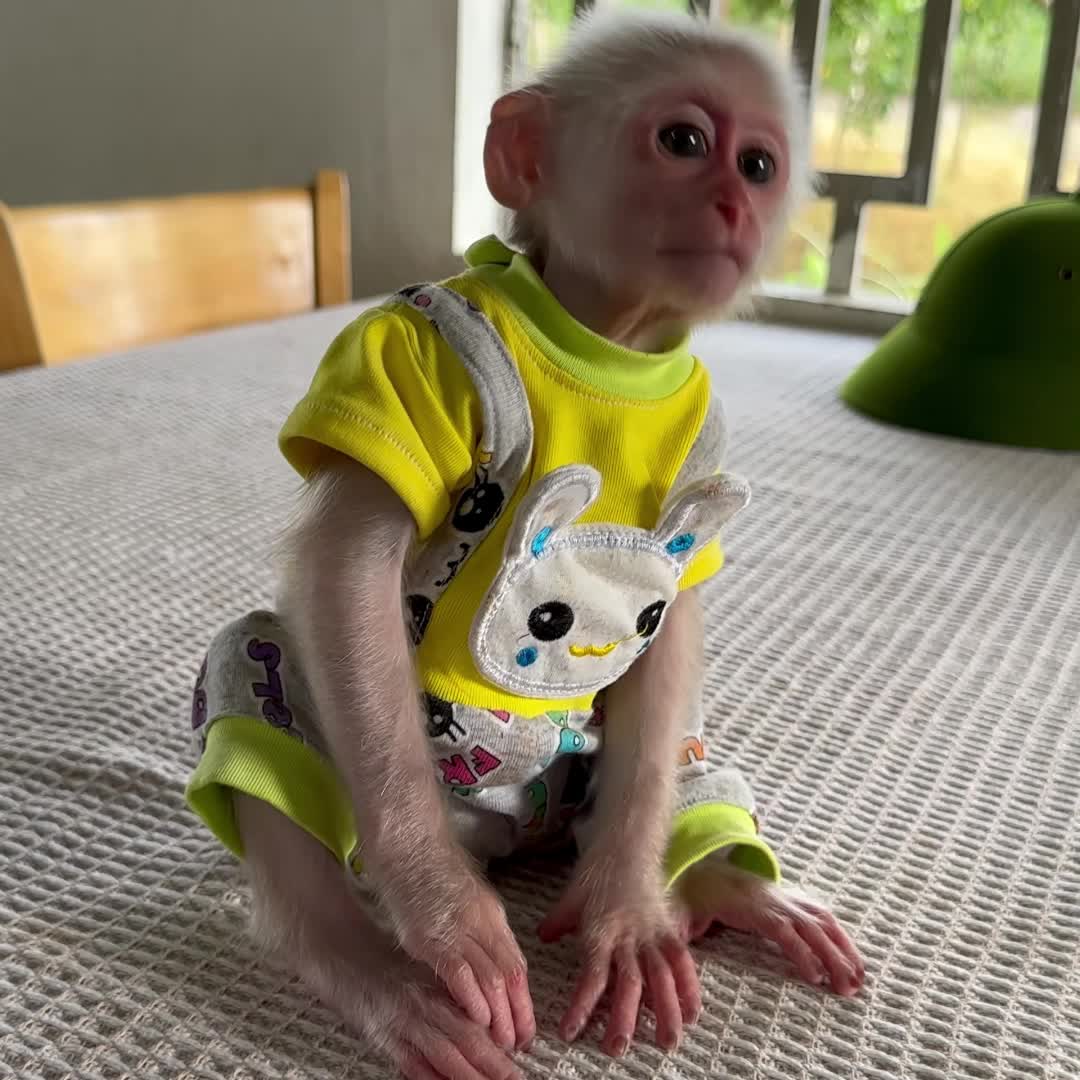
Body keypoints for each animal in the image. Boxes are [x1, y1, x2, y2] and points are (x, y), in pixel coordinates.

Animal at [183, 10, 864, 1080]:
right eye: (683, 141)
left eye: (759, 163)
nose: (733, 200)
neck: (606, 344)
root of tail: (516, 839)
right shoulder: (402, 356)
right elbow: (348, 576)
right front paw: (447, 918)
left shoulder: (706, 451)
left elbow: (674, 640)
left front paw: (628, 914)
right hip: (357, 759)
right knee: (267, 681)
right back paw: (370, 970)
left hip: (598, 773)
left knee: (674, 757)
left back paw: (727, 886)